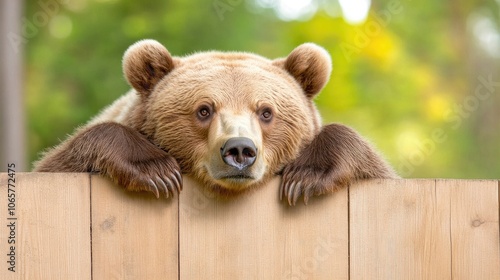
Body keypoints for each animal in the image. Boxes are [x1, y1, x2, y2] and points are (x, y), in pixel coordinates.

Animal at [33, 39, 396, 205]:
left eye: (266, 112)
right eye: (204, 110)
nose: (240, 150)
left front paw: (306, 177)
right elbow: (59, 162)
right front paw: (156, 171)